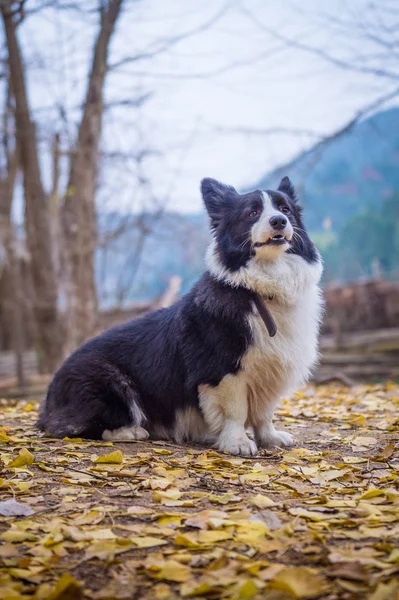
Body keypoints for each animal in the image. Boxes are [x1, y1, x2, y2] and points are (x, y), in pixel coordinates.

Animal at [37, 176, 324, 458]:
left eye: (285, 209)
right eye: (252, 213)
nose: (279, 221)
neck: (262, 288)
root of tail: (49, 399)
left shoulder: (271, 370)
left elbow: (264, 412)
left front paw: (270, 438)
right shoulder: (223, 370)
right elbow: (235, 410)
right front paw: (237, 443)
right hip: (110, 383)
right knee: (76, 427)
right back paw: (131, 431)